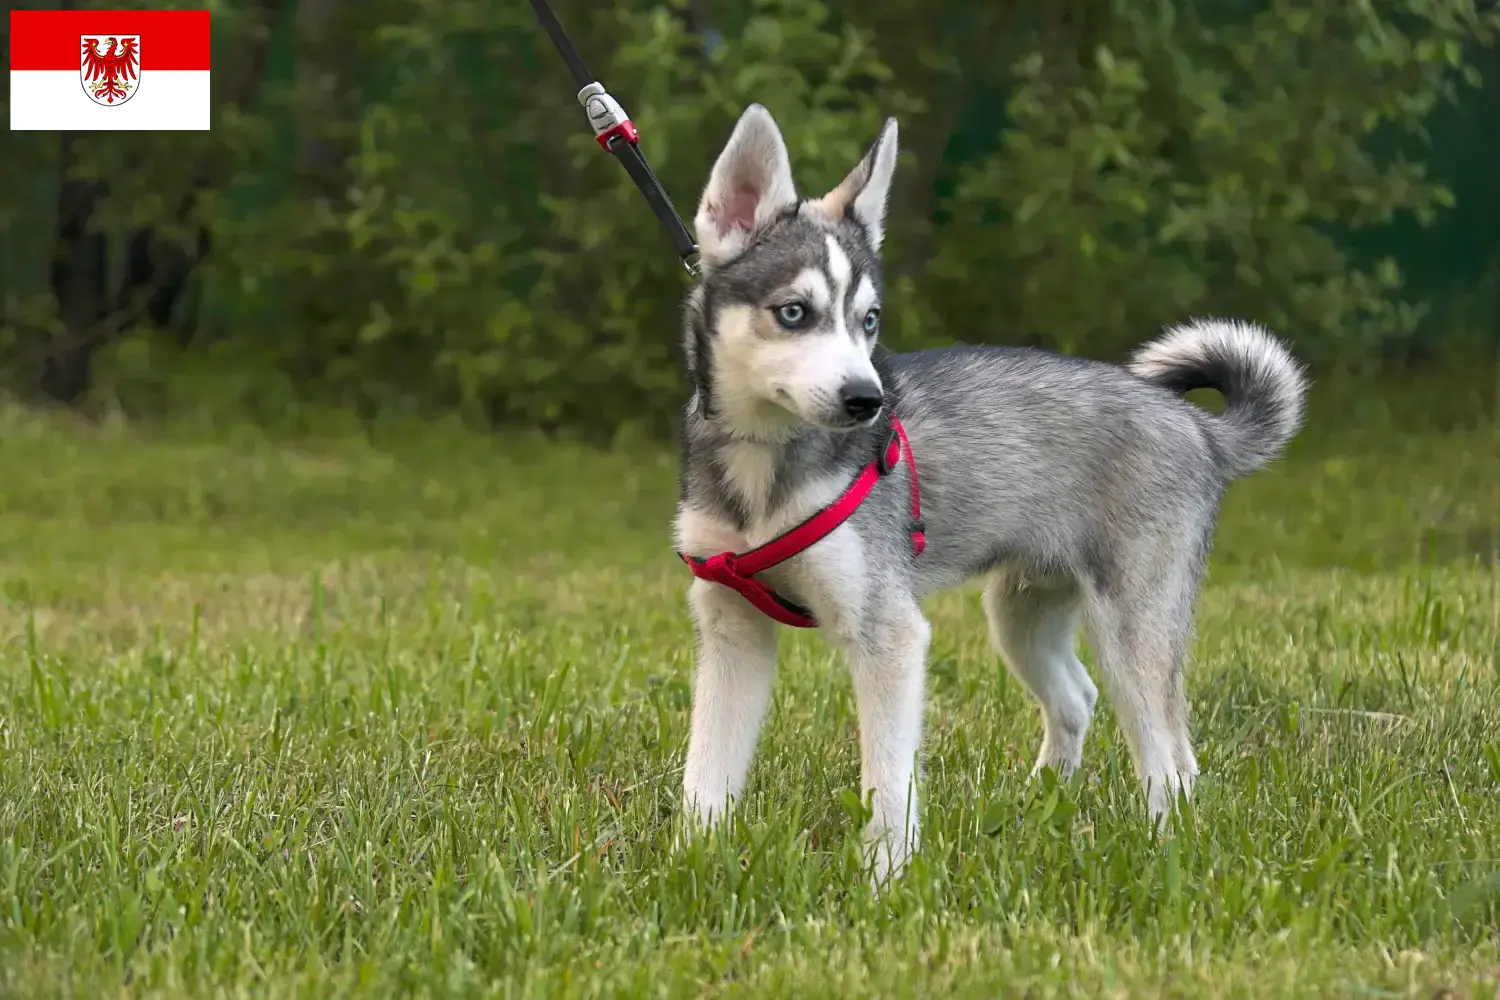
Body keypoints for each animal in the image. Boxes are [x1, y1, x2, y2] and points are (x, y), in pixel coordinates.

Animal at [675, 103, 1308, 881]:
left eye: (869, 320)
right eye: (793, 312)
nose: (867, 400)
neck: (763, 468)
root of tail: (1197, 427)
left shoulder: (889, 635)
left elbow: (889, 786)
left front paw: (886, 882)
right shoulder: (731, 627)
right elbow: (705, 773)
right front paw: (689, 861)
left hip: (1133, 629)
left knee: (1171, 757)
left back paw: (1165, 848)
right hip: (1022, 615)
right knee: (1079, 698)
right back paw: (1039, 802)